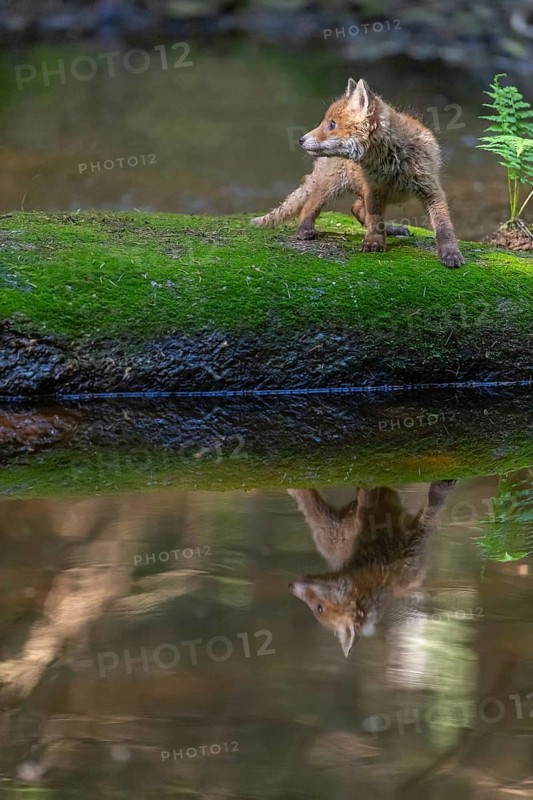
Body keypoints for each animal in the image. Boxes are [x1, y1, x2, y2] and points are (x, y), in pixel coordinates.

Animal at [252, 78, 464, 268]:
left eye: (332, 125)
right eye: (326, 122)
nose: (301, 140)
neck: (392, 161)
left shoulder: (430, 189)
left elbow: (444, 227)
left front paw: (450, 253)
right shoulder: (374, 191)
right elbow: (375, 220)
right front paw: (374, 242)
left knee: (356, 208)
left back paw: (392, 229)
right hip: (332, 187)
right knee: (310, 206)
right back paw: (305, 230)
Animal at [288, 480, 457, 657]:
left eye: (319, 608)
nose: (291, 586)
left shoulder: (415, 544)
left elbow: (433, 510)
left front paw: (441, 488)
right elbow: (367, 501)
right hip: (334, 526)